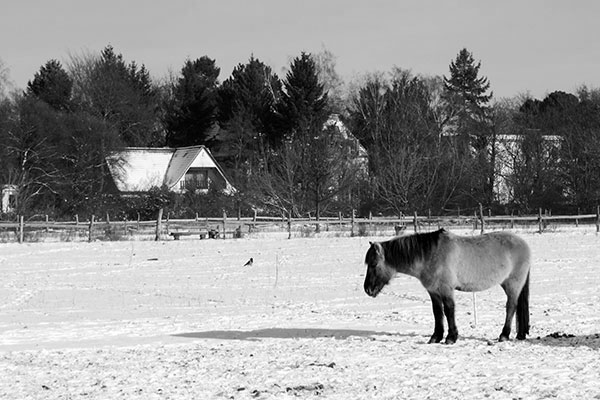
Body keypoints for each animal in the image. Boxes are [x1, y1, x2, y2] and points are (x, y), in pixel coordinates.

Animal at [364, 228, 532, 344]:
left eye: (374, 264)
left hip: (513, 284)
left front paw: (451, 337)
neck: (431, 255)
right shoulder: (433, 291)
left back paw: (504, 335)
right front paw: (435, 337)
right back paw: (519, 334)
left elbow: (449, 310)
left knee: (511, 307)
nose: (367, 289)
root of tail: (524, 244)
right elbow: (437, 312)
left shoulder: (446, 289)